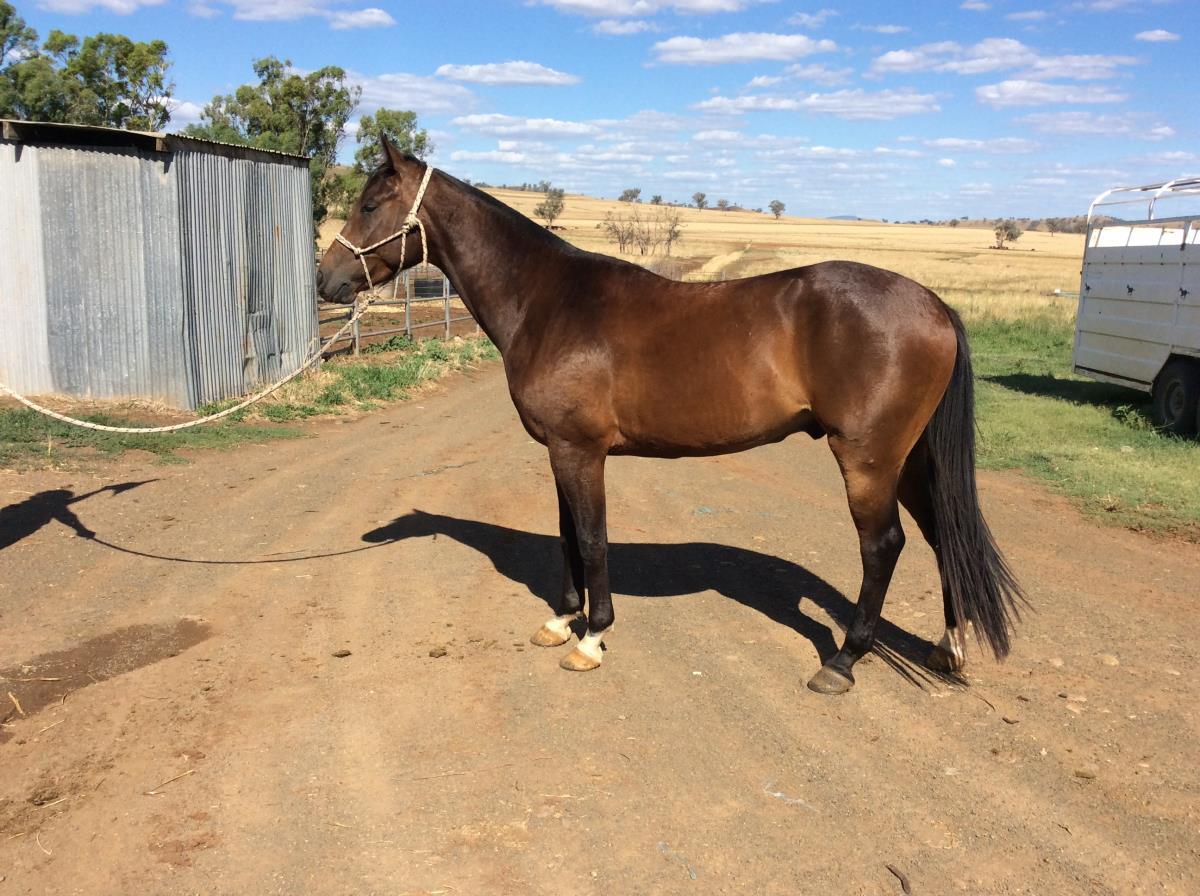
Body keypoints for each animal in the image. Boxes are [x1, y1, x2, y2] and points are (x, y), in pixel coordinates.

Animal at [316, 137, 1024, 694]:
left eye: (371, 205)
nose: (327, 282)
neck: (548, 300)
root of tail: (932, 302)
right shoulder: (559, 450)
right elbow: (567, 535)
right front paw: (560, 621)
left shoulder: (580, 450)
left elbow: (592, 538)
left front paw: (592, 640)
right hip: (908, 459)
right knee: (942, 535)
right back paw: (950, 648)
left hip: (868, 459)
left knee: (884, 547)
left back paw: (843, 661)